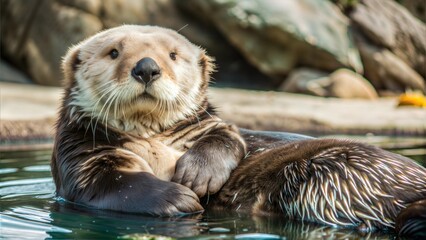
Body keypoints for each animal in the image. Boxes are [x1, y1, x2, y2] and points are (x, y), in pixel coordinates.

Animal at [52, 25, 426, 235]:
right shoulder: (80, 156)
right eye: (113, 52)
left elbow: (228, 139)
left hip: (334, 169)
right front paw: (180, 198)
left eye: (172, 55)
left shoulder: (213, 127)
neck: (150, 136)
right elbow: (113, 184)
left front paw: (195, 177)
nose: (146, 68)